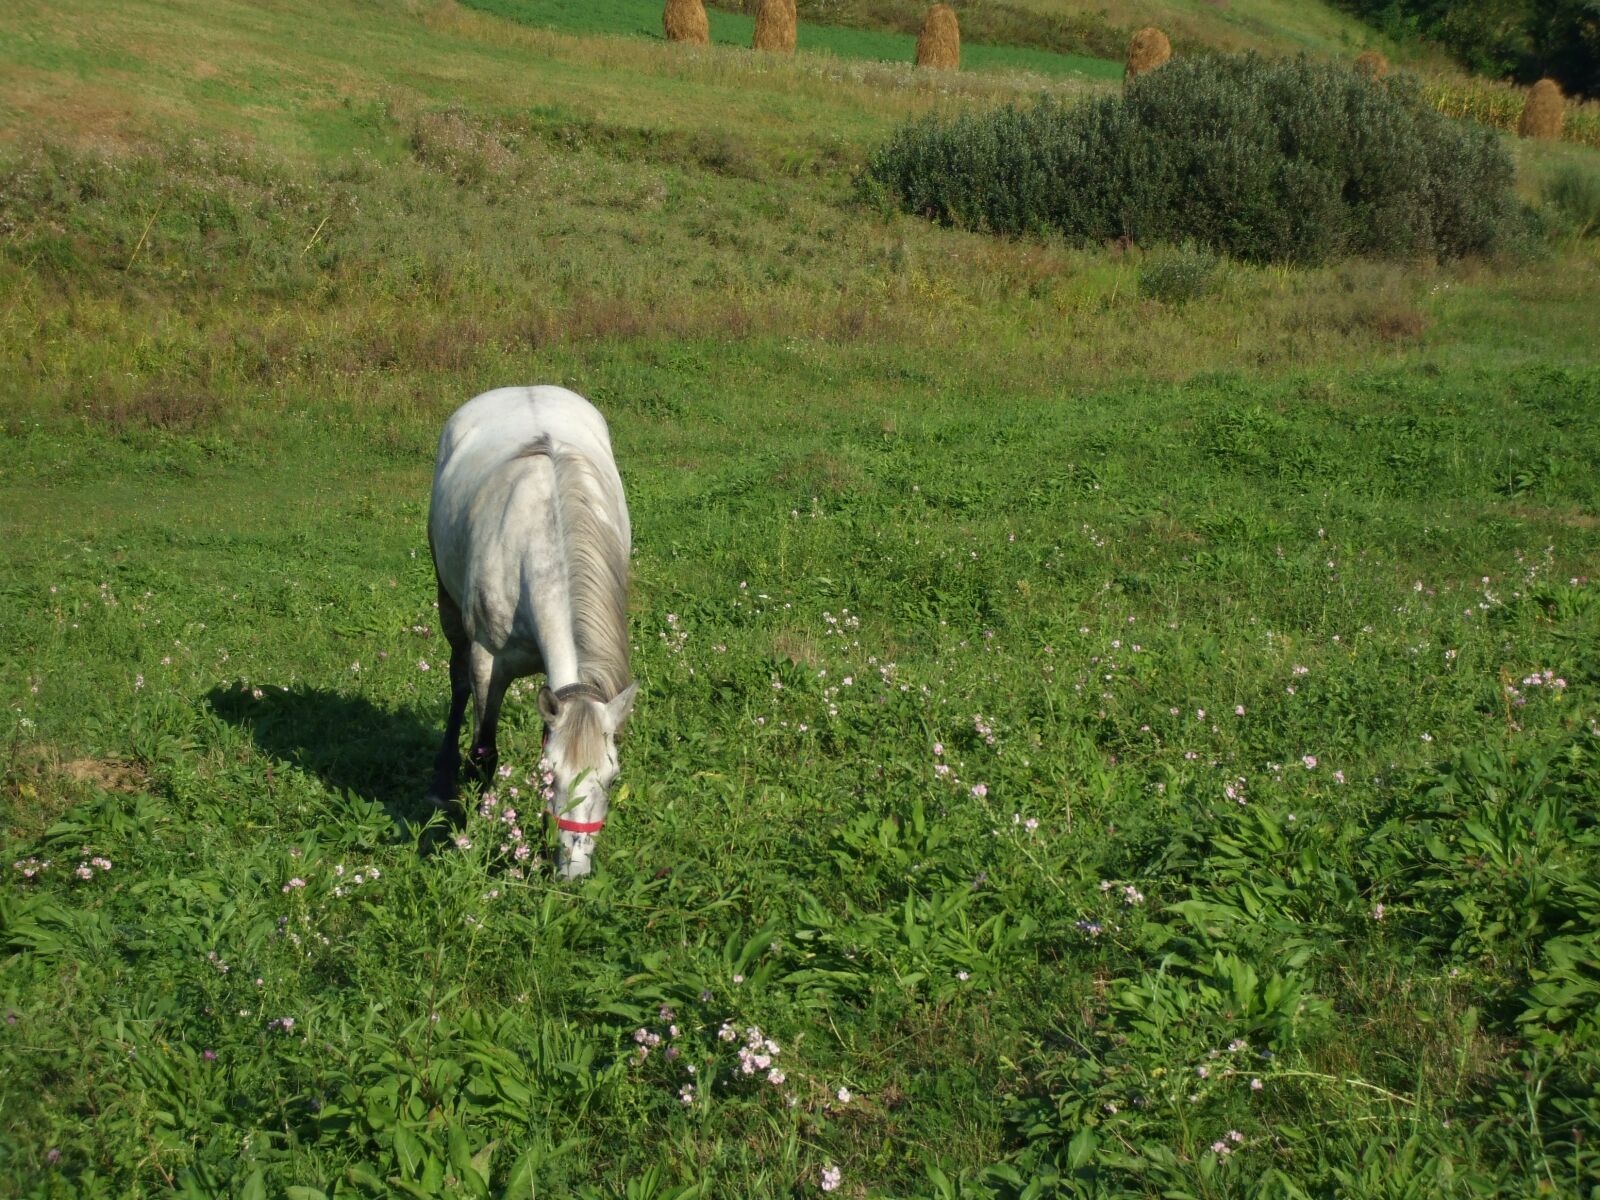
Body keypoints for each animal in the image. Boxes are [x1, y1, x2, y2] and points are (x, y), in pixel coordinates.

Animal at [428, 390, 633, 876]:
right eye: (551, 773)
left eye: (612, 776)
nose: (575, 872)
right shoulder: (488, 663)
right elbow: (484, 753)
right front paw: (474, 837)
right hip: (448, 604)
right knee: (457, 681)